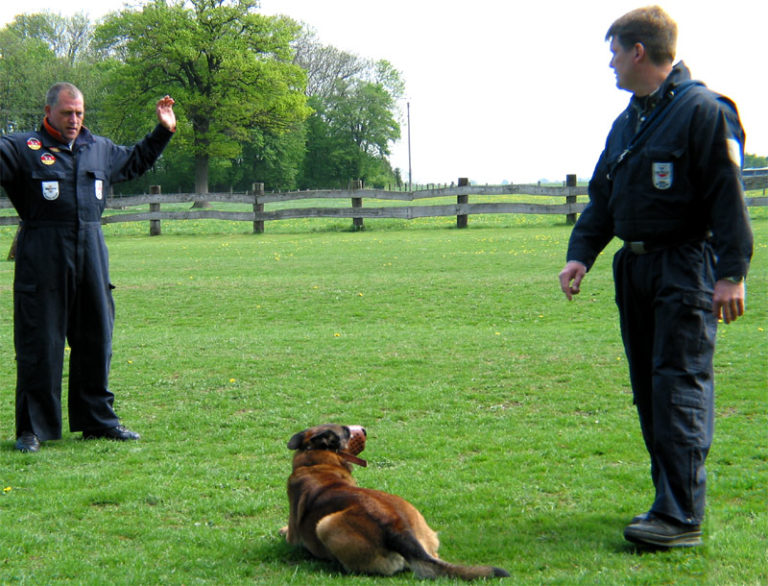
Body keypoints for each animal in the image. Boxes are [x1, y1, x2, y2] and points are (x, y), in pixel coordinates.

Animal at [282, 422, 510, 576]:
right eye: (346, 431)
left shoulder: (293, 536)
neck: (317, 462)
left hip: (325, 524)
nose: (364, 430)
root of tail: (398, 529)